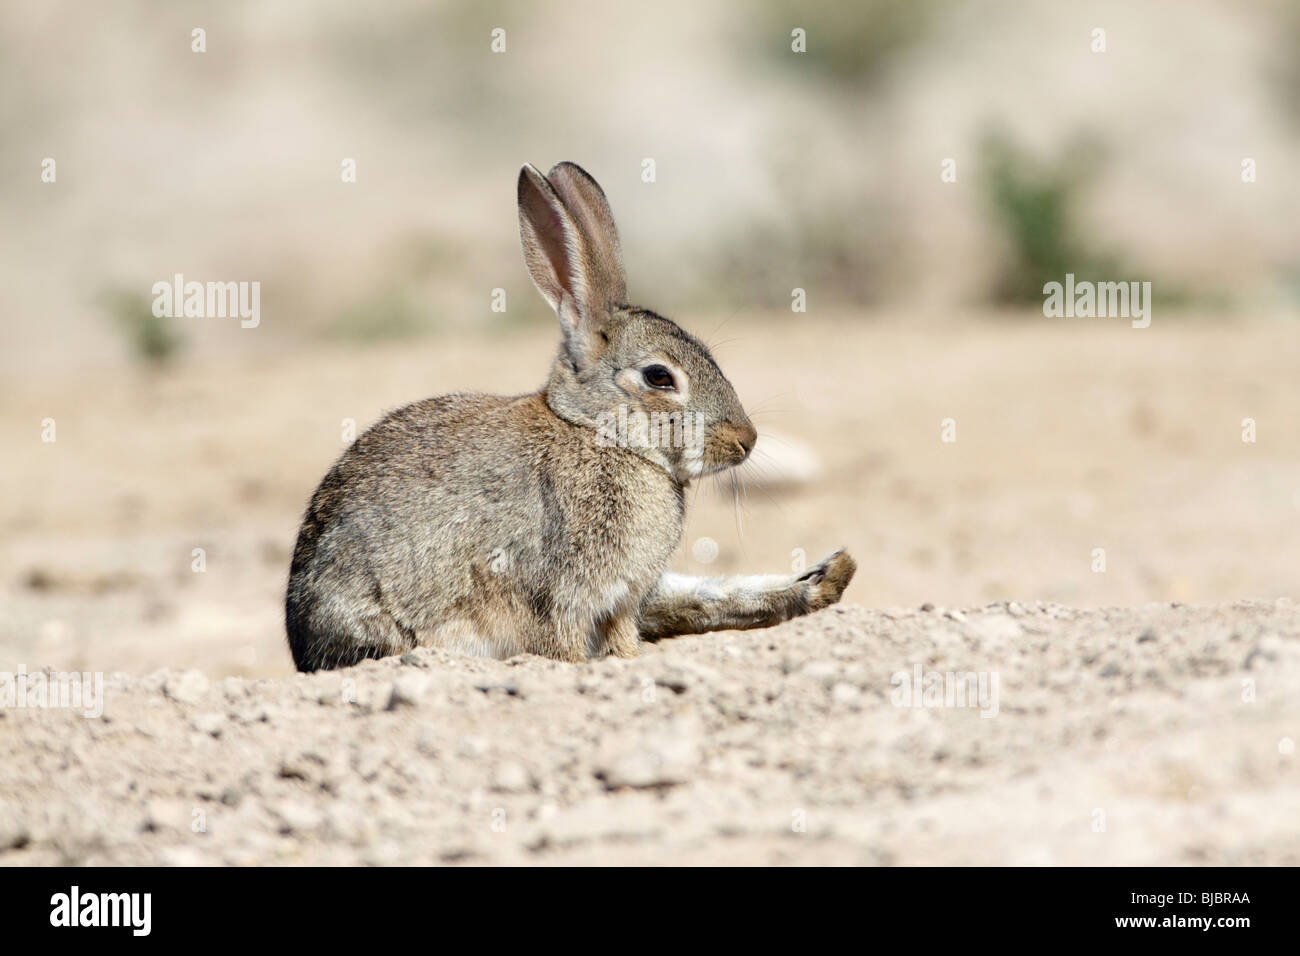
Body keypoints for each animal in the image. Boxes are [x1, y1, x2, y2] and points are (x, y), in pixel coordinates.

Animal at [284, 162, 852, 671]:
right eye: (659, 377)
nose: (745, 440)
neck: (602, 437)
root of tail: (301, 640)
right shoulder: (562, 589)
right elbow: (563, 642)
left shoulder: (622, 599)